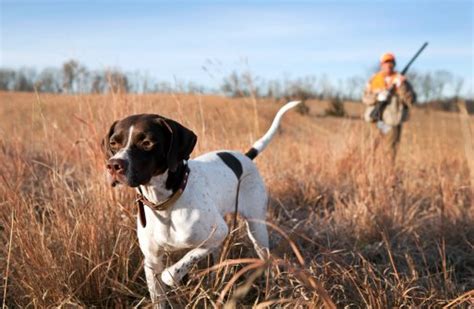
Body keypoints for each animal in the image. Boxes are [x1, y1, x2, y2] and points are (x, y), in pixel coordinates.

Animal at [103, 101, 302, 306]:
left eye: (147, 143)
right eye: (113, 143)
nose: (113, 165)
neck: (166, 203)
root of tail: (246, 157)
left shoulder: (219, 232)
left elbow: (174, 271)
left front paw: (175, 275)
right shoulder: (151, 260)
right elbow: (160, 296)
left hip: (257, 230)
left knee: (266, 260)